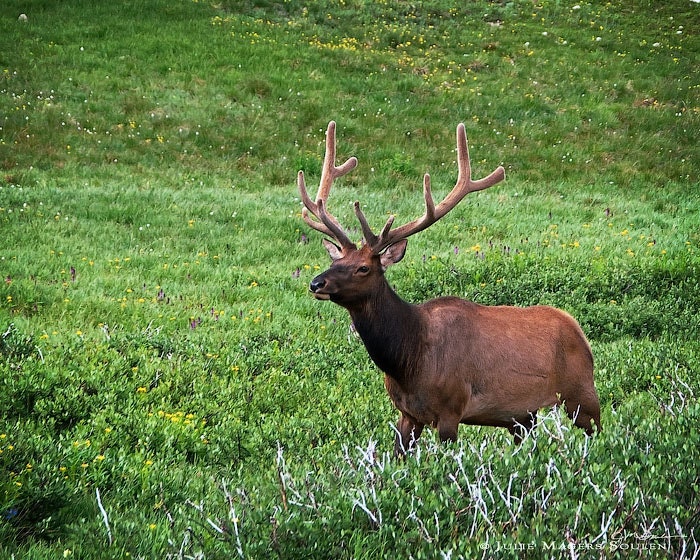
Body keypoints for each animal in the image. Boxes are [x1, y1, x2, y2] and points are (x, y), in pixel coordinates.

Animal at [298, 121, 601, 456]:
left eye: (363, 268)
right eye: (336, 258)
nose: (316, 283)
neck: (408, 361)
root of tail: (580, 332)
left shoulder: (451, 408)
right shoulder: (407, 414)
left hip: (581, 392)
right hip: (523, 415)